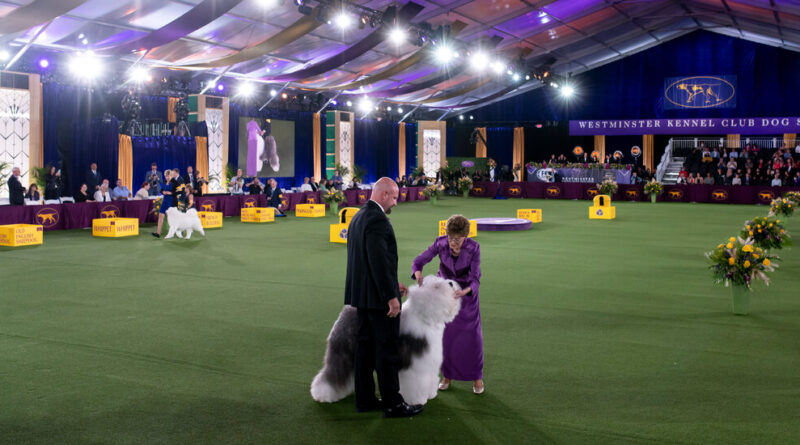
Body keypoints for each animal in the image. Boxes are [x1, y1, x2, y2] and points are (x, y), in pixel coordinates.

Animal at [312, 276, 462, 404]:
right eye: (437, 286)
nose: (451, 283)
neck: (424, 317)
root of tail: (346, 311)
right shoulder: (415, 365)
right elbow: (416, 383)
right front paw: (416, 400)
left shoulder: (430, 363)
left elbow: (430, 379)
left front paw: (430, 394)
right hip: (343, 352)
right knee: (333, 373)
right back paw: (322, 394)